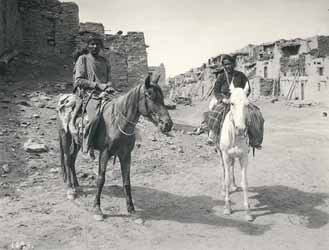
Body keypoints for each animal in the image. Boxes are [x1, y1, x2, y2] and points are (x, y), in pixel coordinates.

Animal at [56, 75, 172, 220]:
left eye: (161, 97)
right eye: (149, 95)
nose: (167, 124)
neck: (117, 122)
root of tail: (64, 100)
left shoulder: (126, 155)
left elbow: (126, 182)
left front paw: (131, 210)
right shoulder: (105, 153)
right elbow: (101, 179)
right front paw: (97, 209)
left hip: (78, 142)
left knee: (71, 160)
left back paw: (77, 185)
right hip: (65, 136)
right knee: (67, 160)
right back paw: (70, 190)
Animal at [215, 82, 251, 221]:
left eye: (247, 104)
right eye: (232, 103)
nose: (240, 129)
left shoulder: (244, 157)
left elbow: (245, 182)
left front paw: (248, 212)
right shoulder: (225, 155)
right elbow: (226, 180)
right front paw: (227, 207)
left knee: (231, 167)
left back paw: (234, 185)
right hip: (221, 154)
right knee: (224, 170)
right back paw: (224, 189)